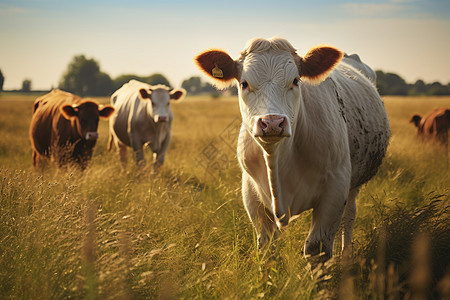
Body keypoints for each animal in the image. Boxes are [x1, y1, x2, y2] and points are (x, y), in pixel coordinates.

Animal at [197, 37, 390, 258]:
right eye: (244, 83)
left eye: (296, 81)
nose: (272, 122)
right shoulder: (251, 193)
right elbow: (266, 245)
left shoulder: (335, 188)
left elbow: (317, 247)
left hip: (354, 183)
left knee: (349, 215)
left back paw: (346, 255)